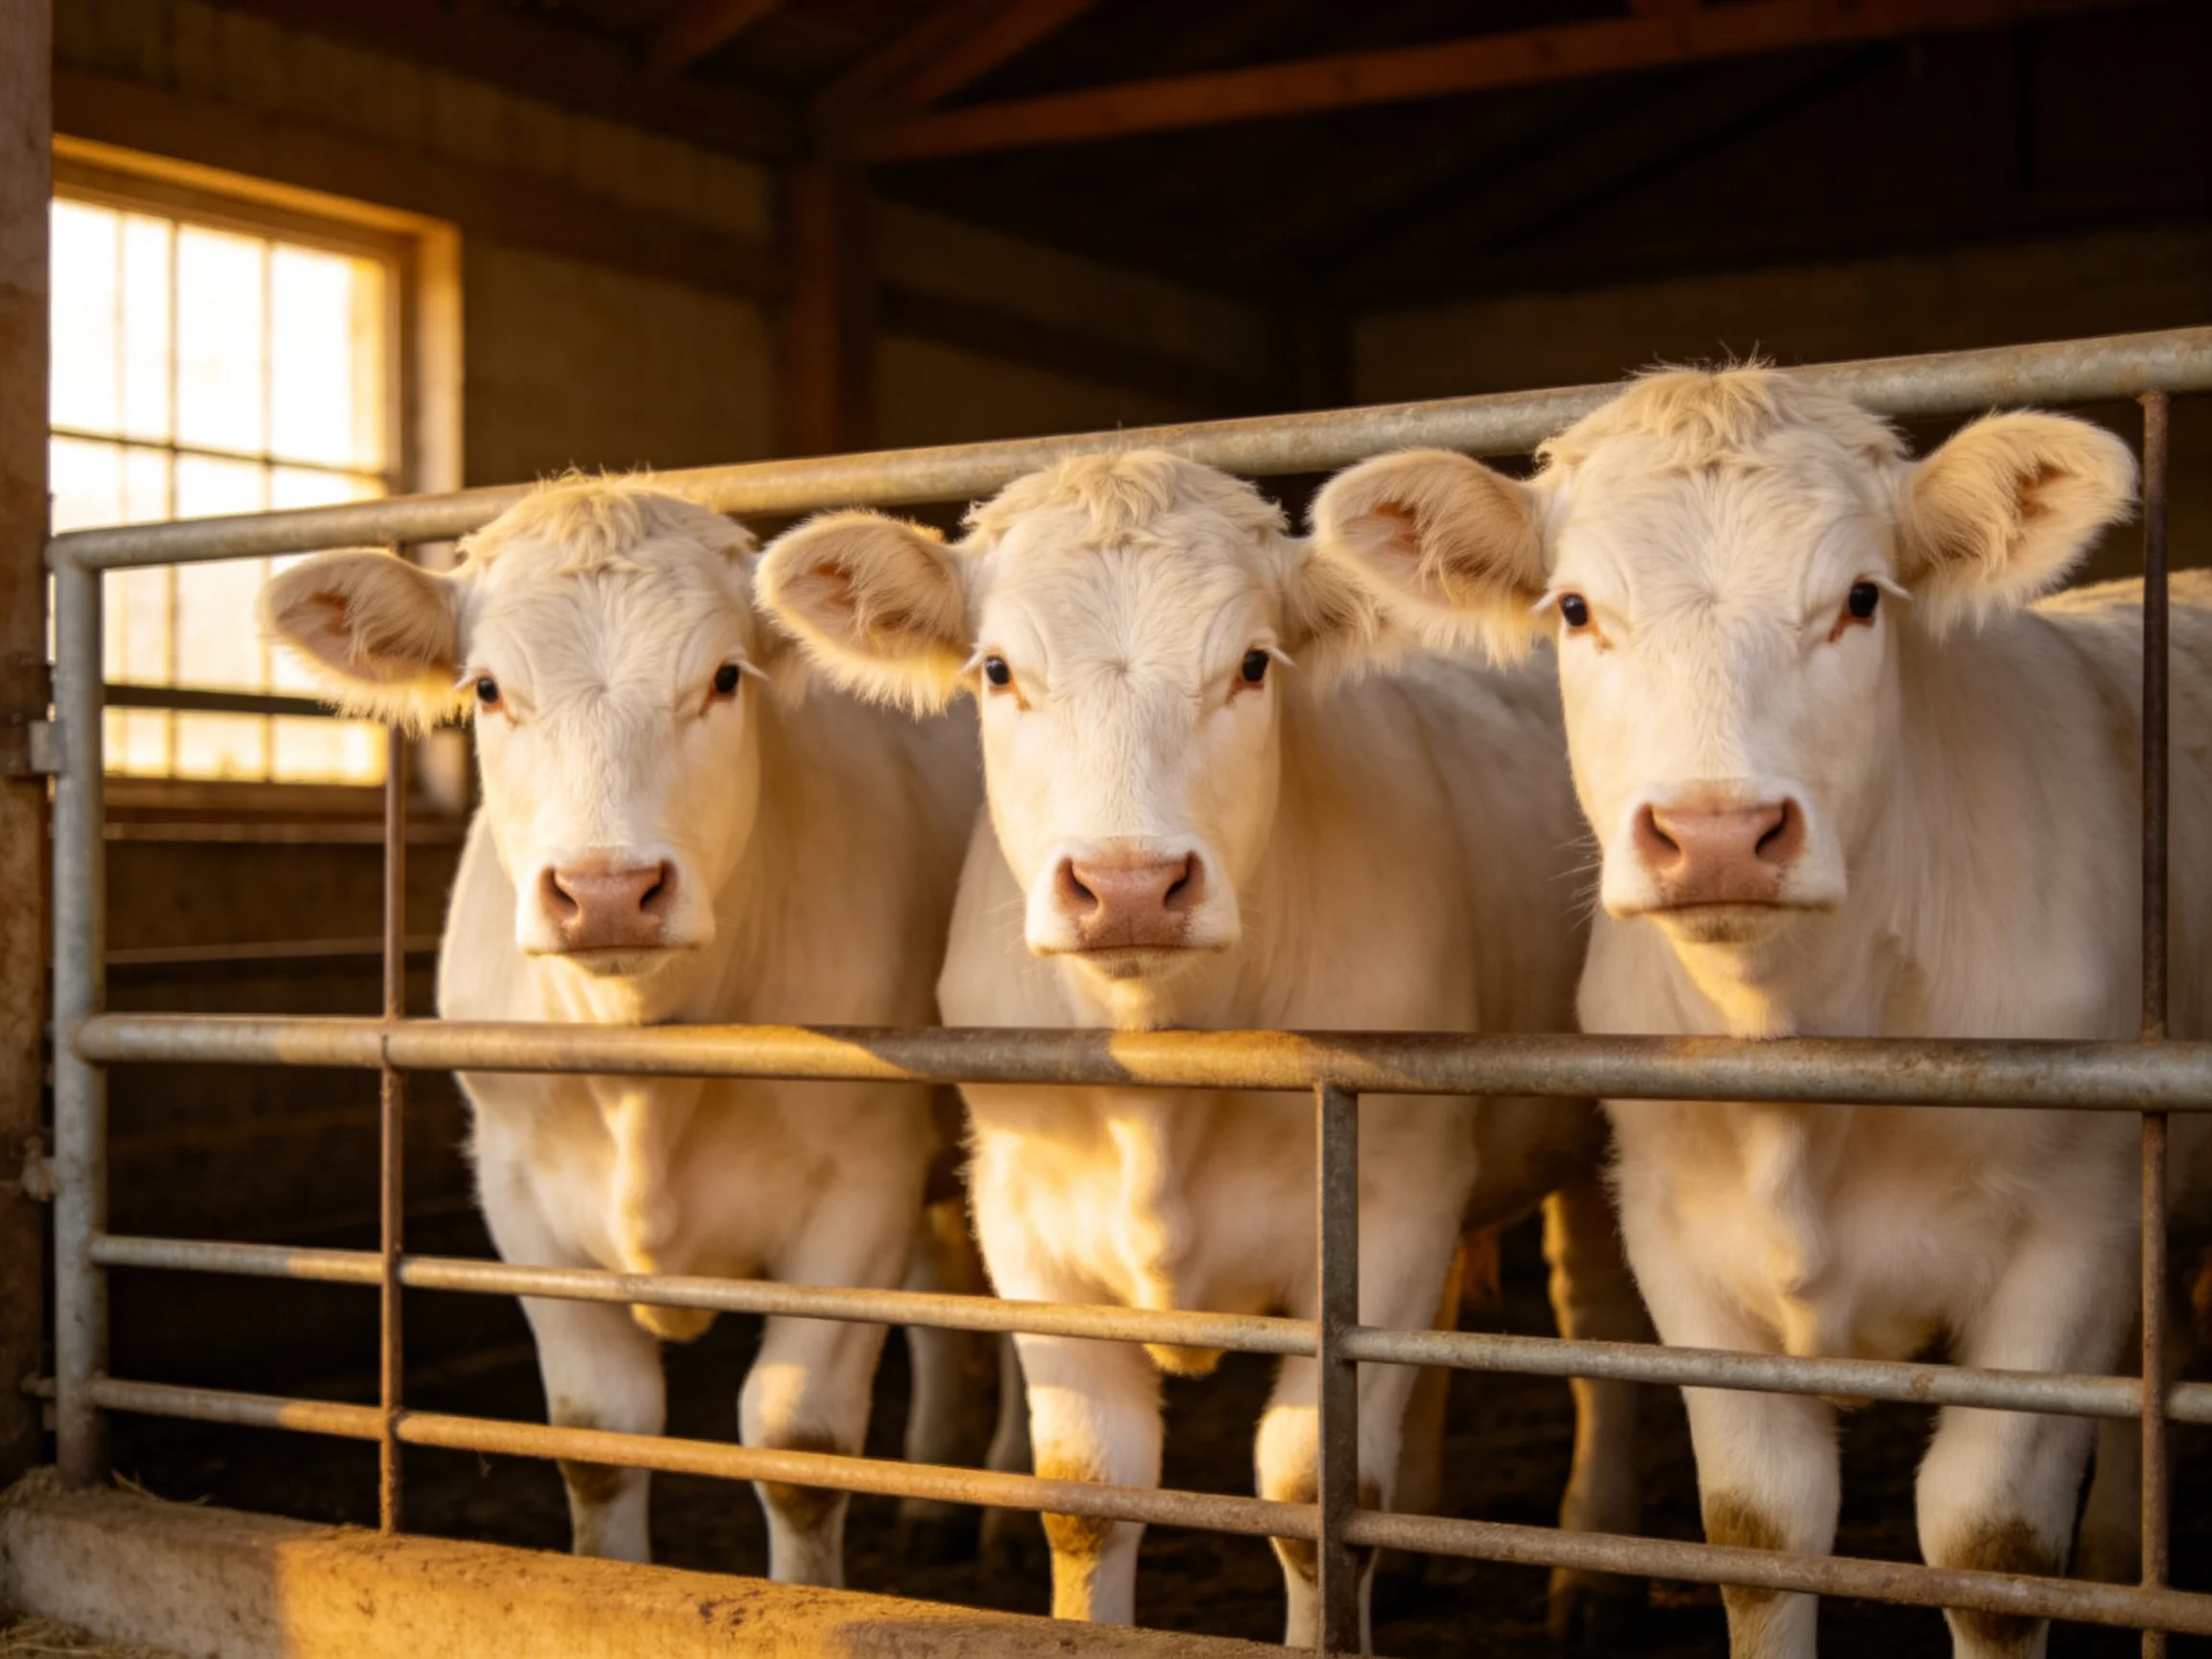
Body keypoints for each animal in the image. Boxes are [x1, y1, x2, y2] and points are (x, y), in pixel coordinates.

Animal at [258, 477, 981, 1585]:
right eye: (486, 689)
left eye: (726, 678)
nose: (605, 892)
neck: (644, 1059)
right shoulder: (521, 1195)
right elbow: (599, 1435)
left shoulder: (860, 1189)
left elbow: (798, 1444)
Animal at [755, 451, 1648, 1651]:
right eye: (997, 669)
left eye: (1253, 664)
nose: (1129, 885)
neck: (1160, 1069)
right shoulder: (1025, 1221)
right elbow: (1087, 1490)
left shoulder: (1391, 1202)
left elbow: (1314, 1492)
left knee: (1596, 1325)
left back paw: (1596, 1563)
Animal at [1310, 370, 2212, 1659]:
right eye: (1575, 609)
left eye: (1861, 598)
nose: (1718, 833)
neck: (1802, 1038)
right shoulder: (1681, 1239)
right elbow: (1758, 1528)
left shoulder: (2078, 1236)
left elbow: (1991, 1543)